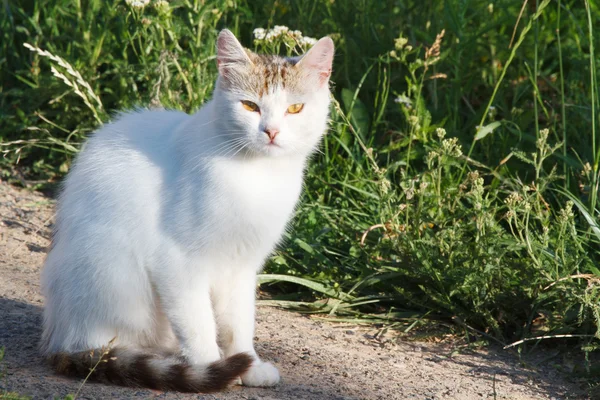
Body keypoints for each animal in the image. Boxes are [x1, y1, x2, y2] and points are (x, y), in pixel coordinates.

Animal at [42, 29, 332, 392]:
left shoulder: (242, 265)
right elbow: (198, 321)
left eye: (295, 108)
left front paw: (248, 365)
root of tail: (59, 340)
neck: (256, 175)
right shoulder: (177, 262)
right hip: (109, 270)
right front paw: (209, 366)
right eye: (250, 106)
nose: (272, 132)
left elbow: (239, 322)